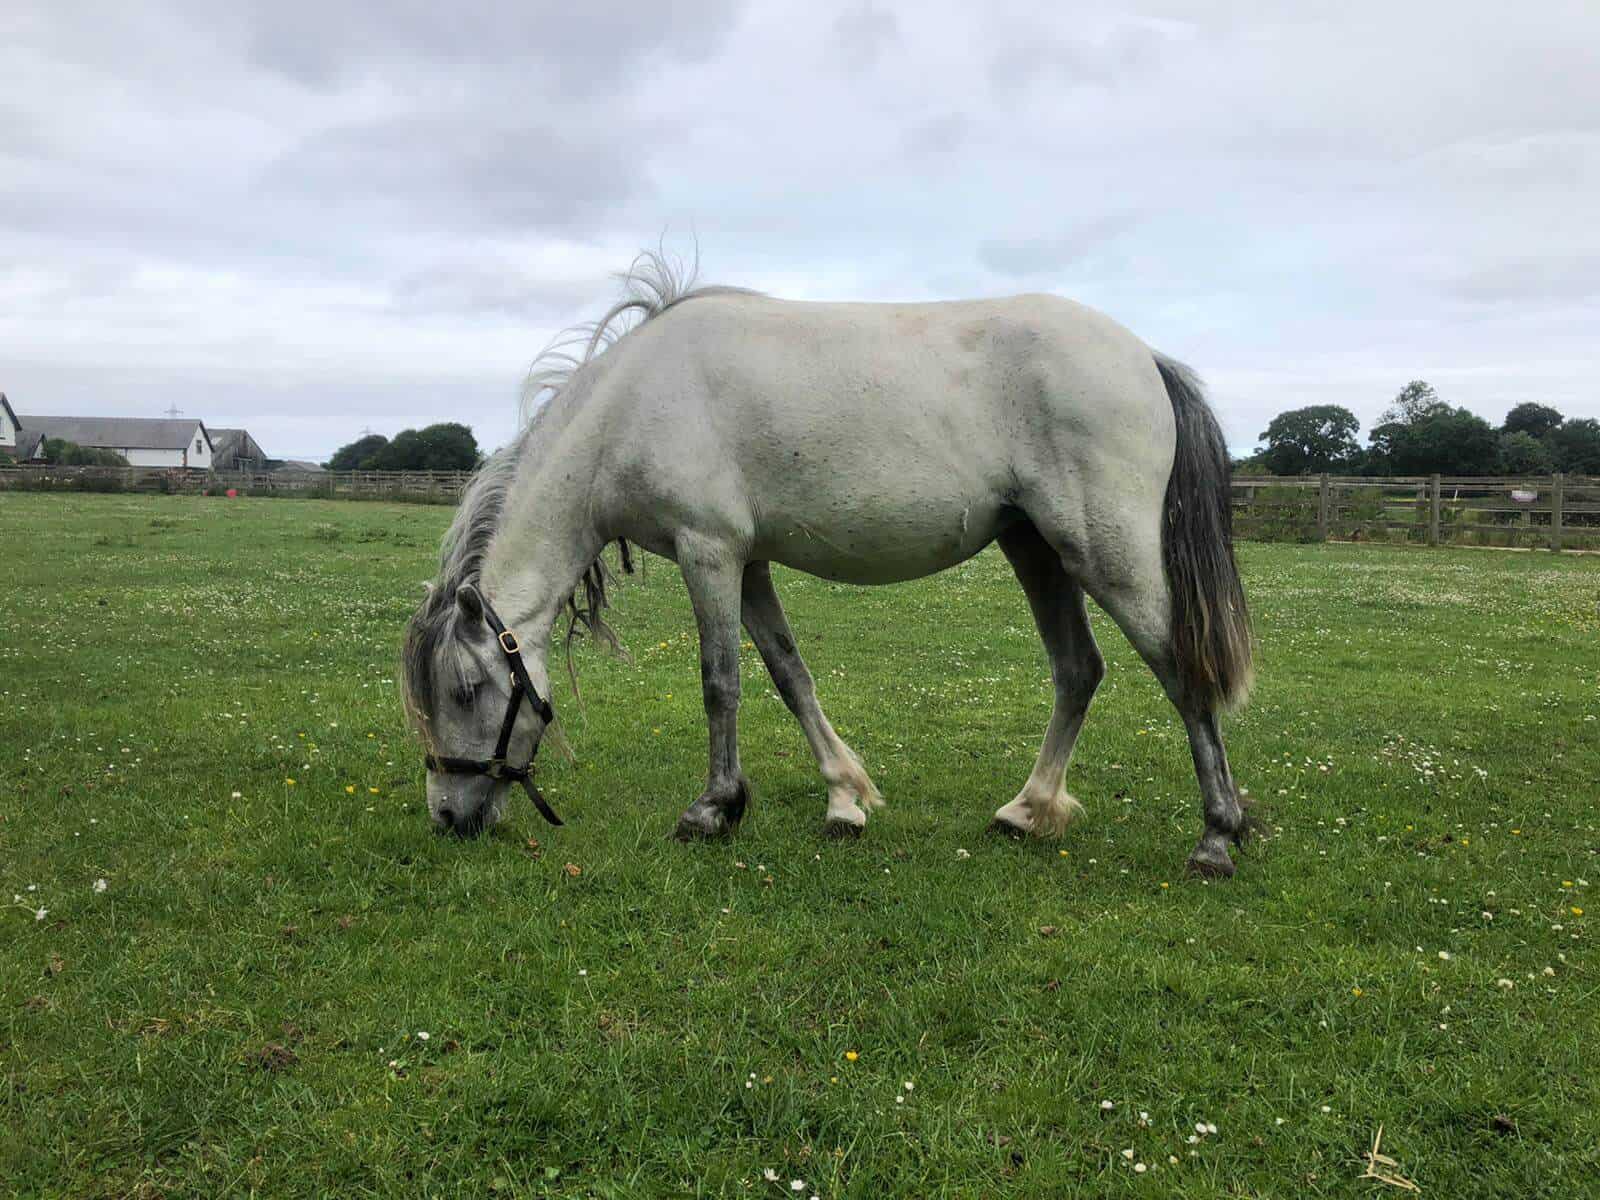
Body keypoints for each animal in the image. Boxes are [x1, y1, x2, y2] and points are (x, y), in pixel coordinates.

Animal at [401, 254, 1254, 876]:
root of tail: (1144, 357)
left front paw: (712, 810)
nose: (447, 816)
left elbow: (720, 683)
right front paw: (845, 799)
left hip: (1100, 551)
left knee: (1179, 668)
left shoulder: (709, 550)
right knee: (1079, 670)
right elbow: (789, 674)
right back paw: (1027, 810)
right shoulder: (747, 564)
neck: (628, 407)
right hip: (1034, 546)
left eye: (467, 690)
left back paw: (1217, 836)